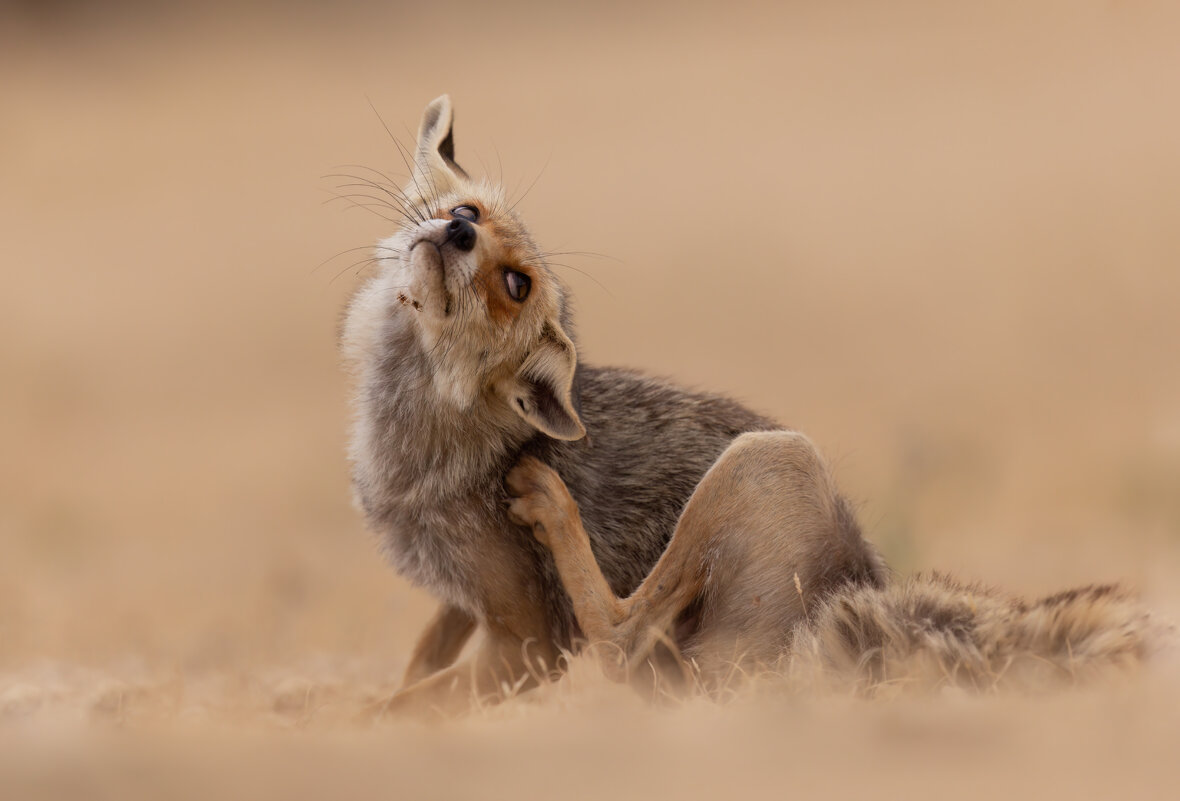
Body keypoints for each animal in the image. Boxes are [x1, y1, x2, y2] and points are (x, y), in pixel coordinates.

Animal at [344, 97, 1170, 717]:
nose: (457, 228)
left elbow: (408, 702)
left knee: (622, 634)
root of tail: (858, 590)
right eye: (466, 209)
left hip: (769, 457)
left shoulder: (530, 644)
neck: (420, 443)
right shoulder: (467, 603)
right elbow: (421, 659)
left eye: (515, 283)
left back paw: (550, 502)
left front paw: (358, 721)